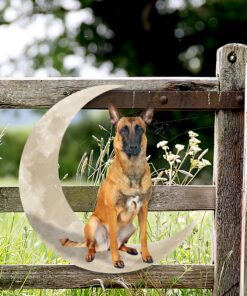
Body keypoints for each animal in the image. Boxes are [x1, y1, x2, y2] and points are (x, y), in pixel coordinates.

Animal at [60, 104, 152, 268]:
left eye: (140, 129)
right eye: (123, 130)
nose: (133, 147)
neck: (133, 170)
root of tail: (102, 245)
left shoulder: (143, 208)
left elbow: (143, 236)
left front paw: (145, 255)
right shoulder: (112, 209)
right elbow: (114, 238)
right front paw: (116, 261)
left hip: (131, 227)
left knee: (119, 244)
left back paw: (129, 249)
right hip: (93, 223)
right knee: (94, 245)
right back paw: (90, 254)